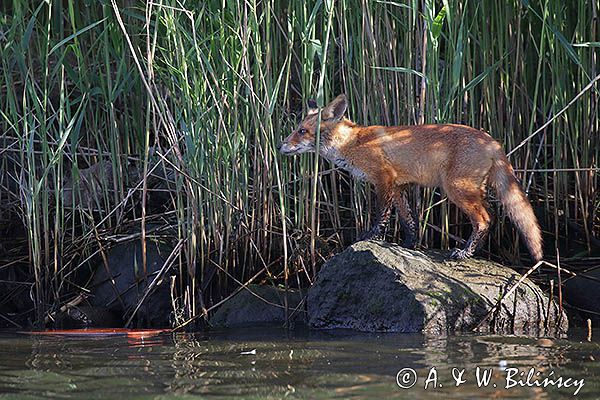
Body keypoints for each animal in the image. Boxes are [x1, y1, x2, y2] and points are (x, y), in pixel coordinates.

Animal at [280, 94, 544, 262]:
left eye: (302, 131)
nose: (280, 146)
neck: (353, 143)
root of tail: (492, 141)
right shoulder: (399, 186)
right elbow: (408, 221)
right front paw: (409, 246)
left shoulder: (383, 179)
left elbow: (382, 217)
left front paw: (370, 238)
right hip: (472, 190)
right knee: (491, 216)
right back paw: (472, 251)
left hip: (457, 190)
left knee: (484, 219)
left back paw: (464, 253)